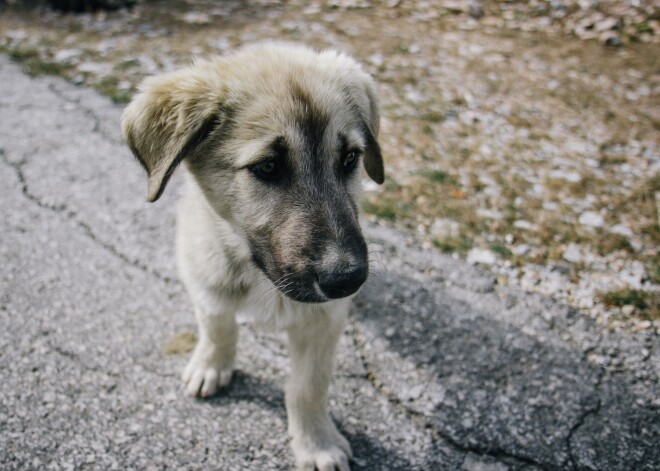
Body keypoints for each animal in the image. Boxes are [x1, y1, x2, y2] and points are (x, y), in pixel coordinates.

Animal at [121, 42, 384, 470]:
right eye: (268, 166)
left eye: (350, 159)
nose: (348, 279)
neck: (261, 275)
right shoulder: (205, 280)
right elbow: (218, 328)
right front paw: (212, 364)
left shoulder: (325, 322)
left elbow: (308, 386)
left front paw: (315, 442)